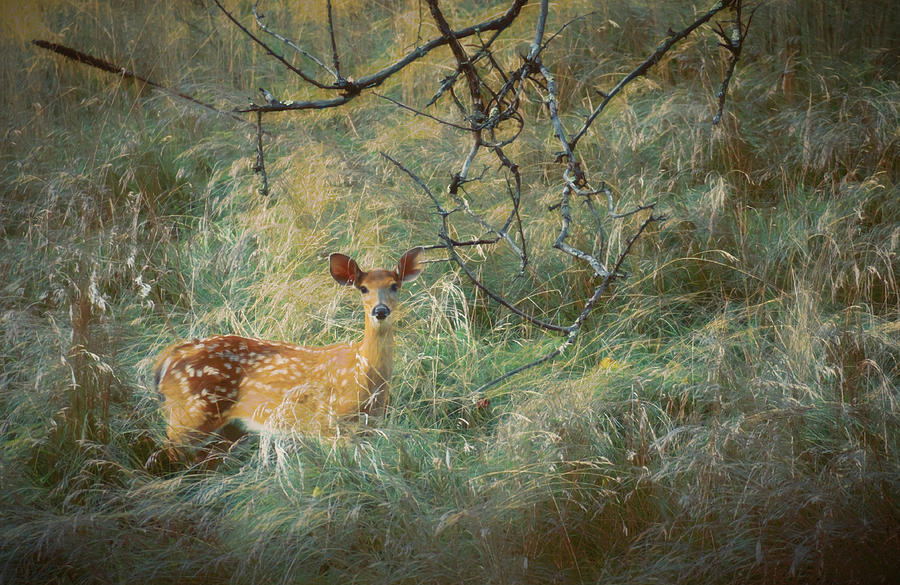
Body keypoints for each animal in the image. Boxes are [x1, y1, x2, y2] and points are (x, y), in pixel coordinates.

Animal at [153, 247, 425, 460]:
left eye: (395, 286)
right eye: (364, 288)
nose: (380, 310)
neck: (363, 375)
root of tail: (168, 359)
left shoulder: (371, 427)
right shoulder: (327, 425)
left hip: (226, 427)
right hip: (190, 413)